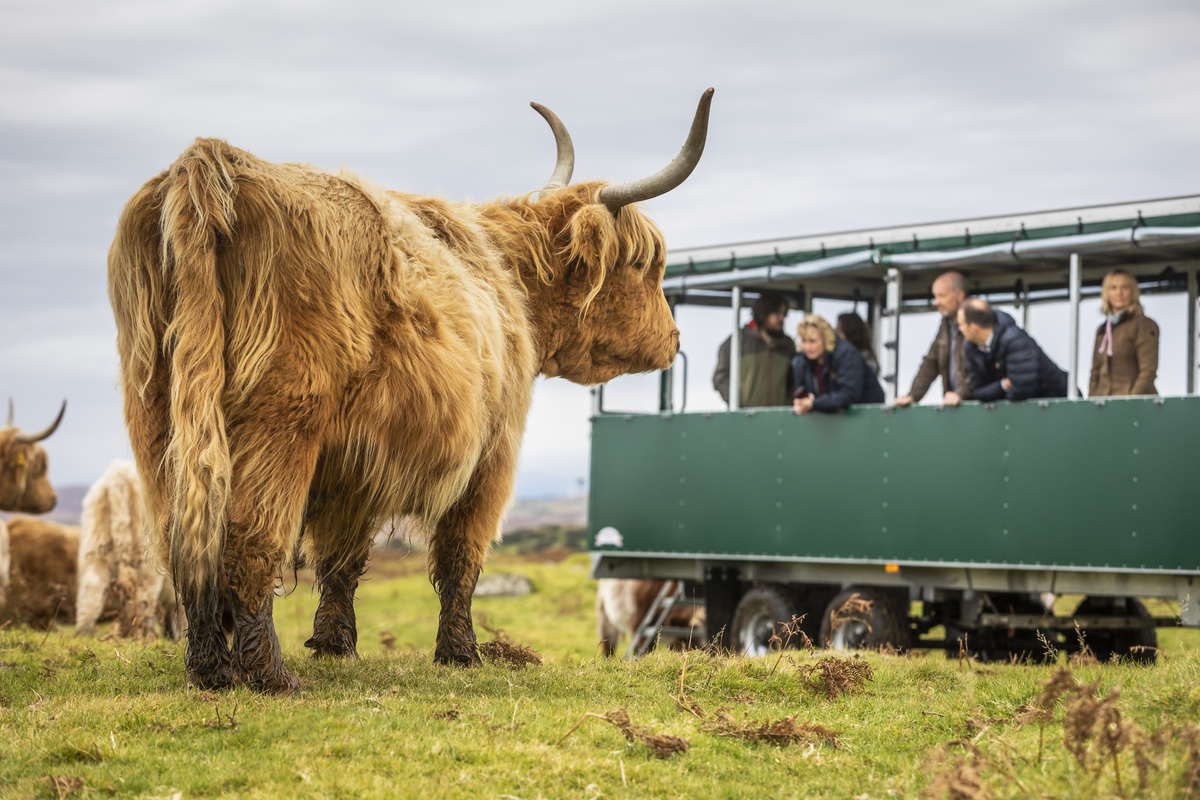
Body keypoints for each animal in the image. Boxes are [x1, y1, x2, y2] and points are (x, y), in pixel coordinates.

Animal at [108, 90, 710, 690]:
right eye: (643, 263)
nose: (674, 338)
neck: (506, 276)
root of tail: (215, 162)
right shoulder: (493, 453)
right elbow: (461, 554)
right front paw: (461, 652)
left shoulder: (355, 463)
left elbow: (342, 557)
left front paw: (336, 646)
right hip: (281, 420)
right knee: (250, 535)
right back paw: (269, 675)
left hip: (159, 417)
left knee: (184, 537)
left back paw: (210, 668)